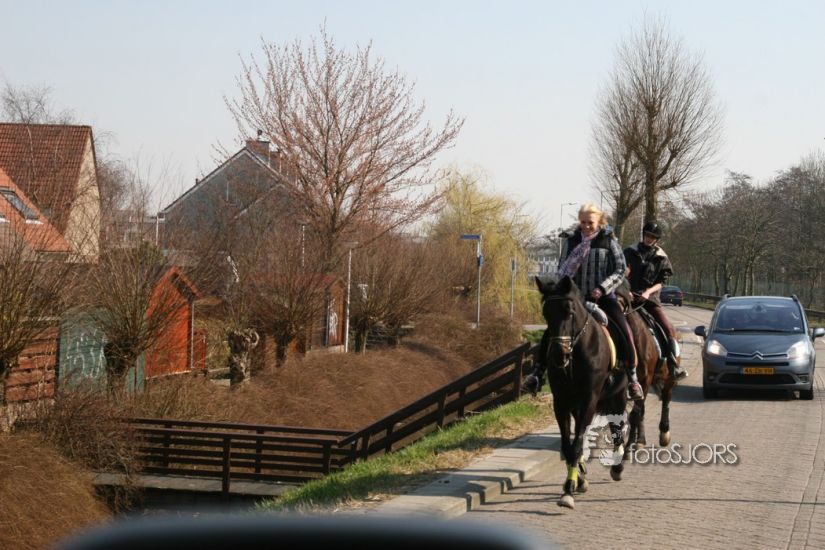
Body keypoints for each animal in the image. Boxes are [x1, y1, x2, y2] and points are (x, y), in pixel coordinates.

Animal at [535, 275, 629, 510]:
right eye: (545, 314)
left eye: (569, 311)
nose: (558, 354)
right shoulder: (562, 402)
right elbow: (569, 446)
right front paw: (575, 482)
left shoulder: (589, 399)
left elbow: (577, 444)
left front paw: (569, 490)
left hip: (617, 395)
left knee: (617, 429)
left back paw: (617, 467)